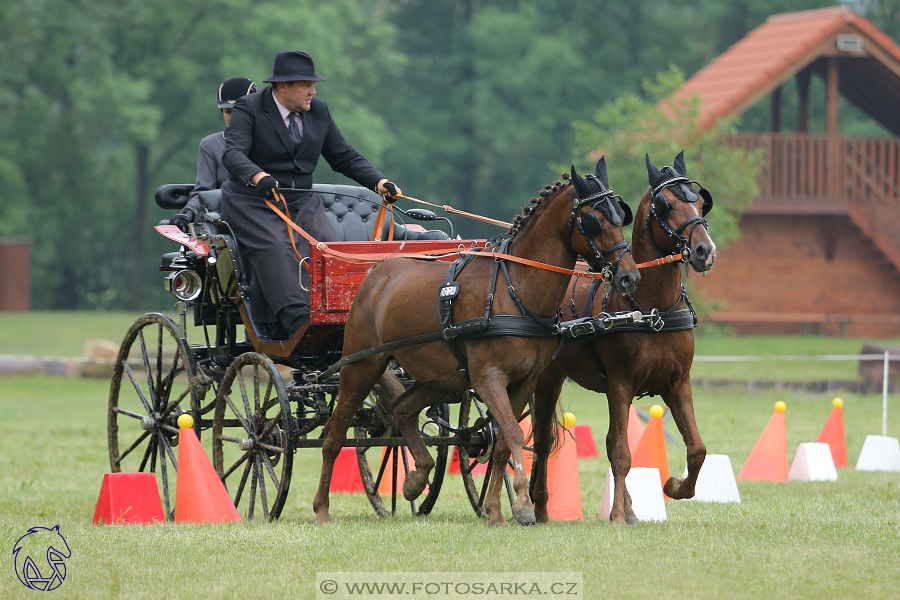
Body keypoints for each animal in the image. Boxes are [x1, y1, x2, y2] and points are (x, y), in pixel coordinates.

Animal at [314, 158, 640, 524]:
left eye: (620, 215)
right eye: (593, 220)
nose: (629, 276)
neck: (515, 289)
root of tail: (375, 272)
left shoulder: (524, 382)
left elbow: (503, 440)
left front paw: (496, 509)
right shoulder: (488, 378)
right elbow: (512, 432)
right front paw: (523, 505)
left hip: (437, 376)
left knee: (402, 409)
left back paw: (416, 478)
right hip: (361, 365)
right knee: (334, 433)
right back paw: (322, 507)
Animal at [536, 151, 716, 524]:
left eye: (699, 202)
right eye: (665, 204)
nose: (705, 250)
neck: (650, 308)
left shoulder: (678, 384)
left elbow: (697, 449)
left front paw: (675, 487)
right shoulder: (619, 385)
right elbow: (620, 452)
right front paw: (617, 514)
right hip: (544, 378)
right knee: (536, 438)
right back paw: (535, 505)